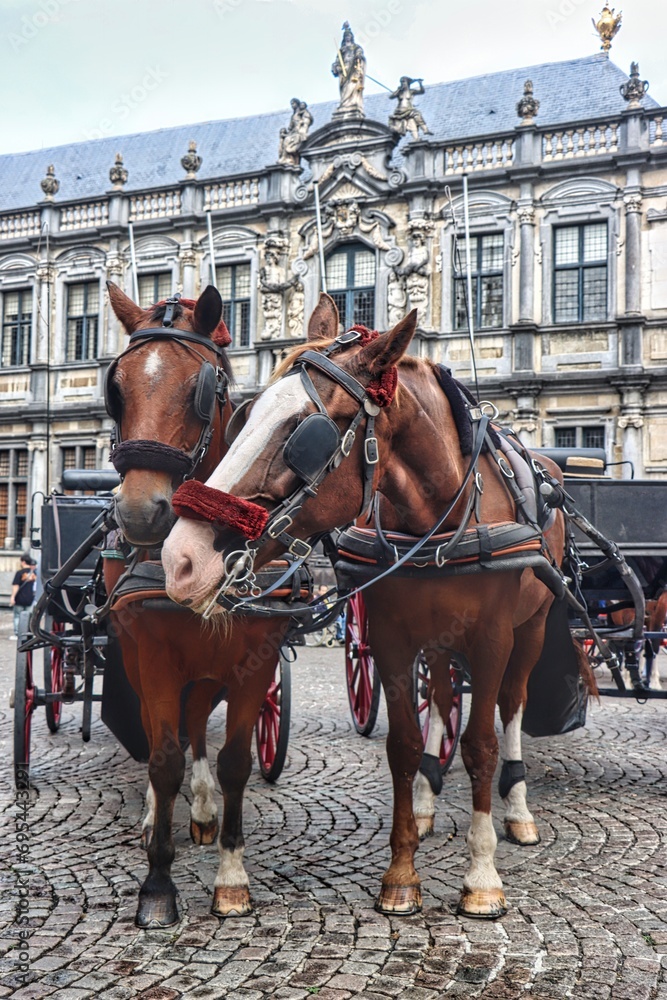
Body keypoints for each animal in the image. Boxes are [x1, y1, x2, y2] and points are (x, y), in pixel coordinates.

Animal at [103, 284, 292, 928]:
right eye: (116, 389)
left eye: (203, 389)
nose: (140, 513)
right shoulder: (155, 654)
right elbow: (162, 759)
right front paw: (157, 885)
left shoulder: (255, 658)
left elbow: (234, 758)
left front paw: (231, 878)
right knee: (164, 731)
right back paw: (152, 816)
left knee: (197, 720)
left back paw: (205, 807)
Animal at [162, 292, 576, 916]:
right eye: (243, 416)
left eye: (303, 434)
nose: (180, 559)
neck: (440, 523)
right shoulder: (391, 637)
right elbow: (403, 745)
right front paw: (402, 872)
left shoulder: (491, 639)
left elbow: (479, 745)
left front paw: (481, 878)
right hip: (438, 639)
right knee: (443, 697)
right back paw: (427, 804)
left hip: (530, 629)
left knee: (512, 707)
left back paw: (519, 811)